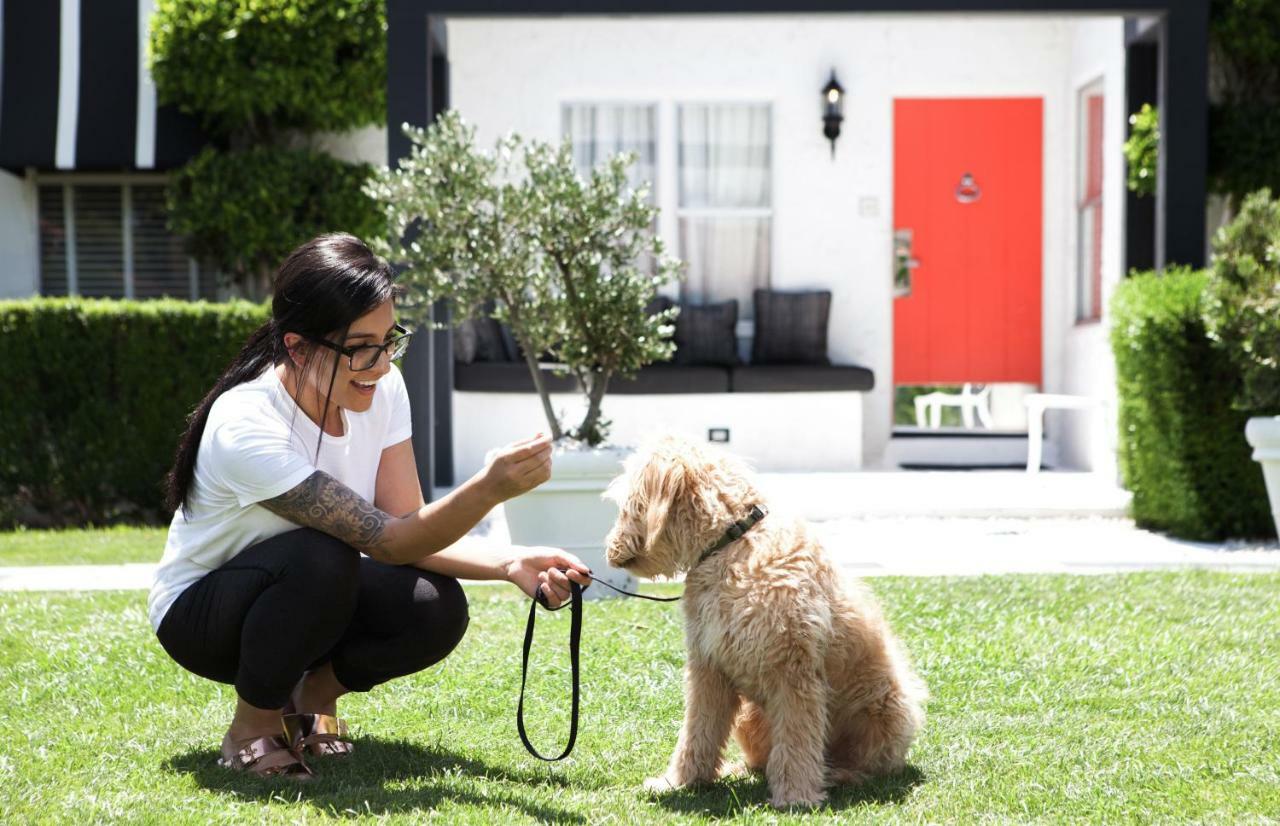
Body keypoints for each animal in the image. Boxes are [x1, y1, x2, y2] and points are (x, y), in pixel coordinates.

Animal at [604, 435, 926, 809]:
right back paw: (738, 771)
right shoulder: (708, 668)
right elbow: (697, 731)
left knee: (864, 765)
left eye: (629, 502)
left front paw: (796, 797)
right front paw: (679, 781)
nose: (609, 551)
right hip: (749, 715)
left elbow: (796, 740)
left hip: (885, 710)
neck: (733, 542)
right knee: (760, 759)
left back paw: (836, 775)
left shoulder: (793, 674)